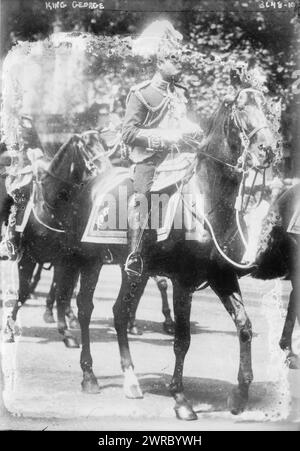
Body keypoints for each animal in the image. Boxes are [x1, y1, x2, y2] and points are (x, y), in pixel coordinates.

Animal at [4, 88, 276, 420]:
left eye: (266, 106)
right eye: (242, 108)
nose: (268, 149)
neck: (205, 200)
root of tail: (89, 185)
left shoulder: (222, 277)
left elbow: (245, 327)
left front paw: (240, 395)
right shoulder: (183, 282)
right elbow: (182, 340)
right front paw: (181, 399)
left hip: (133, 270)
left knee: (119, 313)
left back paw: (131, 379)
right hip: (87, 261)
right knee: (83, 308)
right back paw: (89, 375)